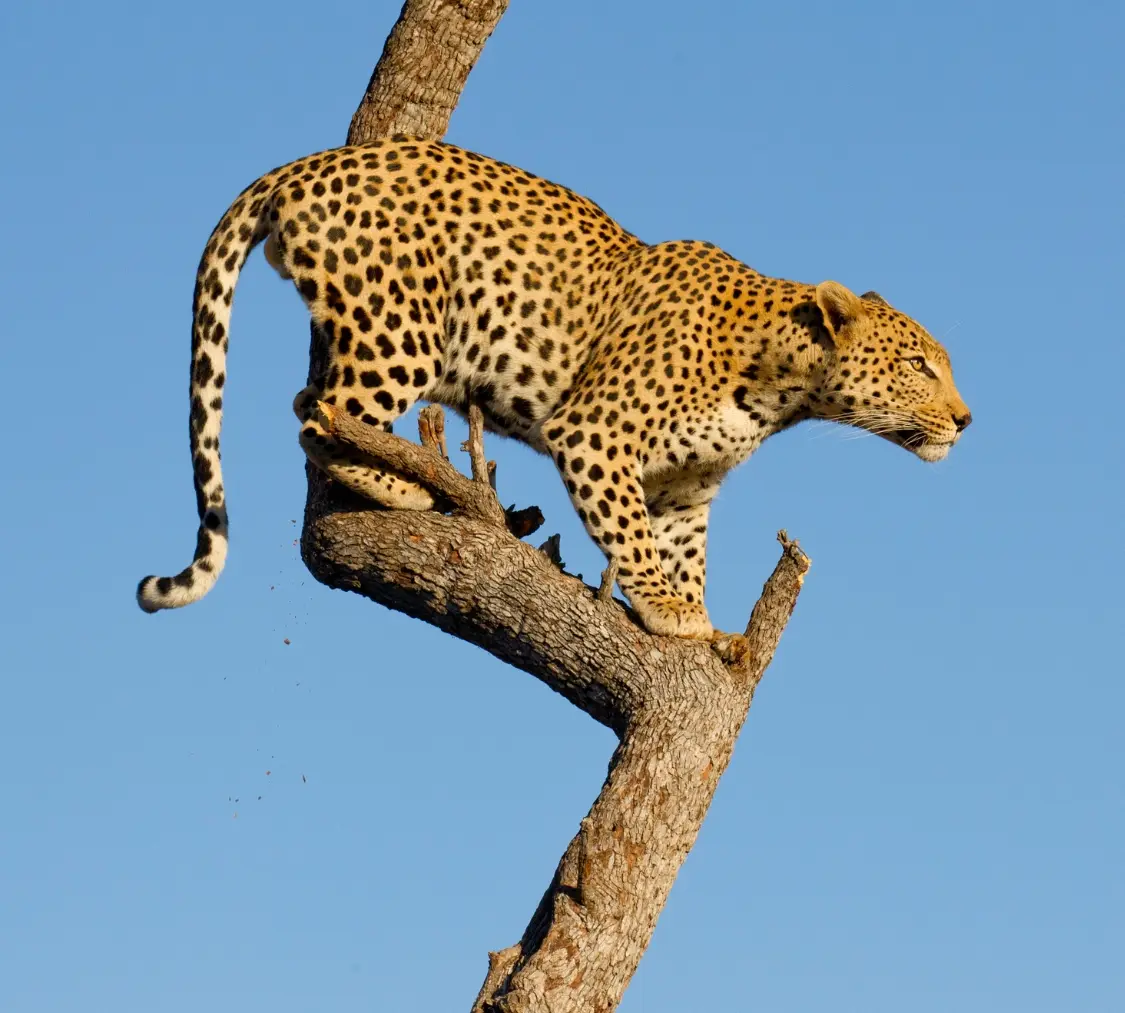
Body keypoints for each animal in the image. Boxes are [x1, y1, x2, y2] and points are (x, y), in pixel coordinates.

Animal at [137, 137, 971, 639]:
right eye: (918, 365)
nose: (966, 420)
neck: (781, 389)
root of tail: (305, 164)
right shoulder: (595, 435)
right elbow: (630, 536)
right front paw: (667, 608)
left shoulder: (686, 487)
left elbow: (681, 549)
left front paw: (698, 617)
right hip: (402, 331)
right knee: (319, 415)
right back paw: (408, 486)